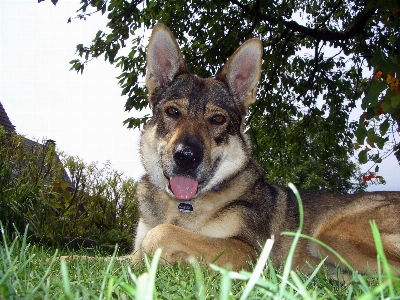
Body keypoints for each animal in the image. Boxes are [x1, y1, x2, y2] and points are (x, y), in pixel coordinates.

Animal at [130, 22, 398, 274]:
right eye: (172, 112)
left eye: (217, 119)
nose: (186, 157)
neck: (183, 205)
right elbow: (131, 253)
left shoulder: (248, 250)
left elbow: (161, 234)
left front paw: (173, 261)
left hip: (331, 234)